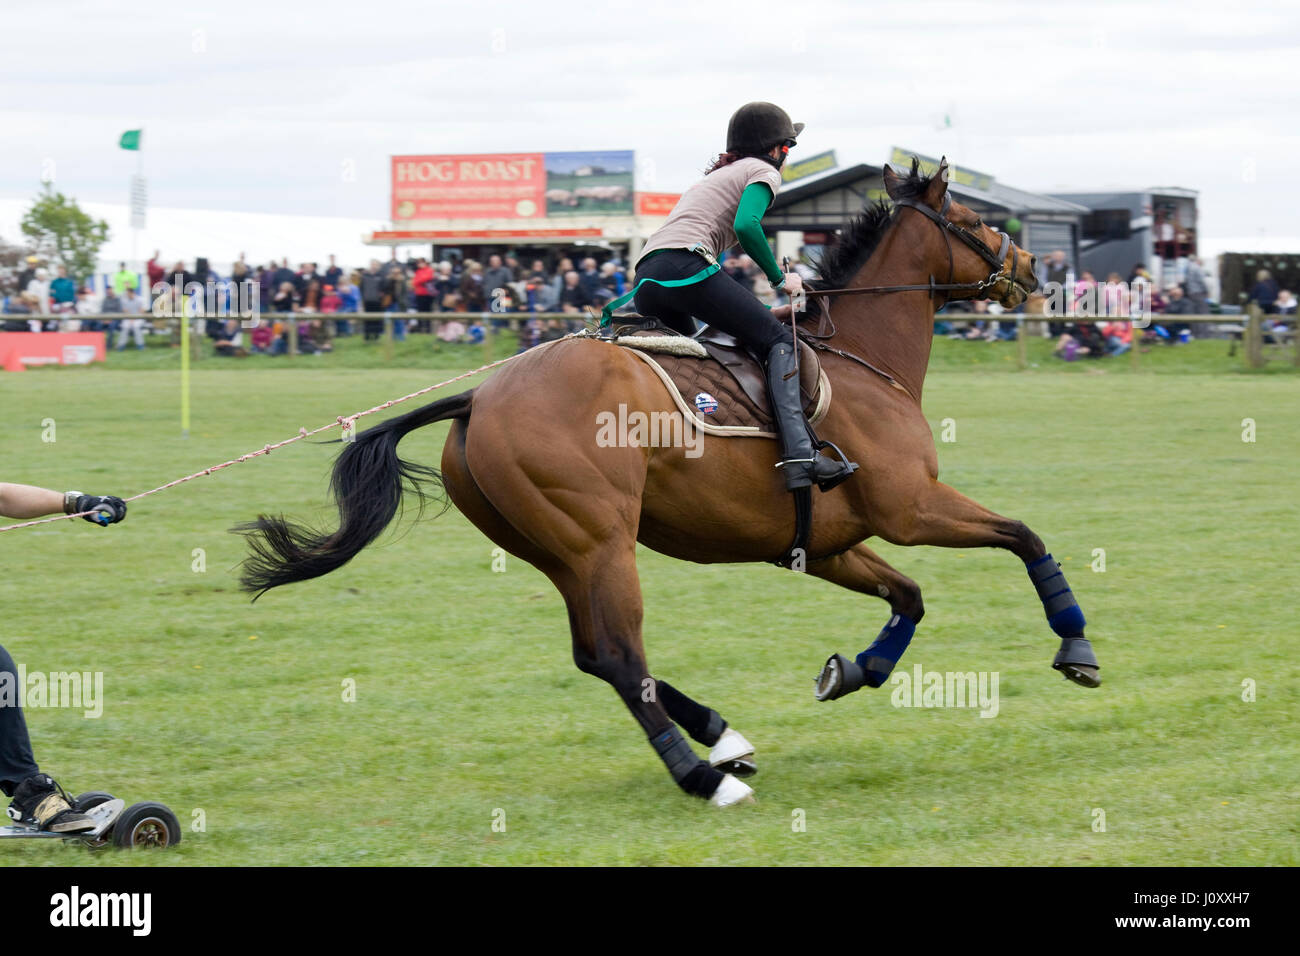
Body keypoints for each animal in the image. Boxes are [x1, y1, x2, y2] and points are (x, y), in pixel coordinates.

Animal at [233, 158, 1097, 806]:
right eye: (979, 224)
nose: (1035, 272)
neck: (862, 359)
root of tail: (477, 397)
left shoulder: (824, 544)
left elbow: (908, 597)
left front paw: (855, 671)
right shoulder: (910, 509)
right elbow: (1026, 537)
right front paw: (1076, 645)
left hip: (559, 550)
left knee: (595, 655)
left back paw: (724, 740)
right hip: (601, 542)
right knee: (619, 656)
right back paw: (704, 777)